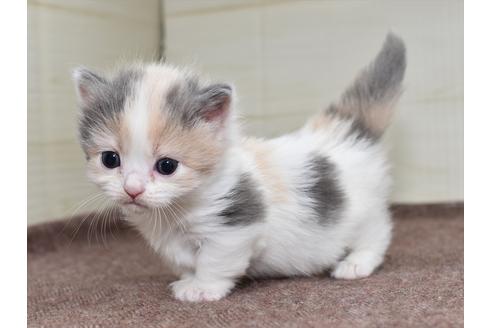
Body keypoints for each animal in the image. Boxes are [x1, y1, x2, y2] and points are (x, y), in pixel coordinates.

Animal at [73, 34, 408, 302]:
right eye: (110, 160)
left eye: (167, 166)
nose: (132, 189)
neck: (177, 210)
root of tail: (344, 131)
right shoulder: (170, 240)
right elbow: (185, 260)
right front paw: (187, 278)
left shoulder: (235, 226)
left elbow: (214, 260)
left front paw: (201, 288)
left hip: (364, 211)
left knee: (378, 230)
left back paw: (357, 263)